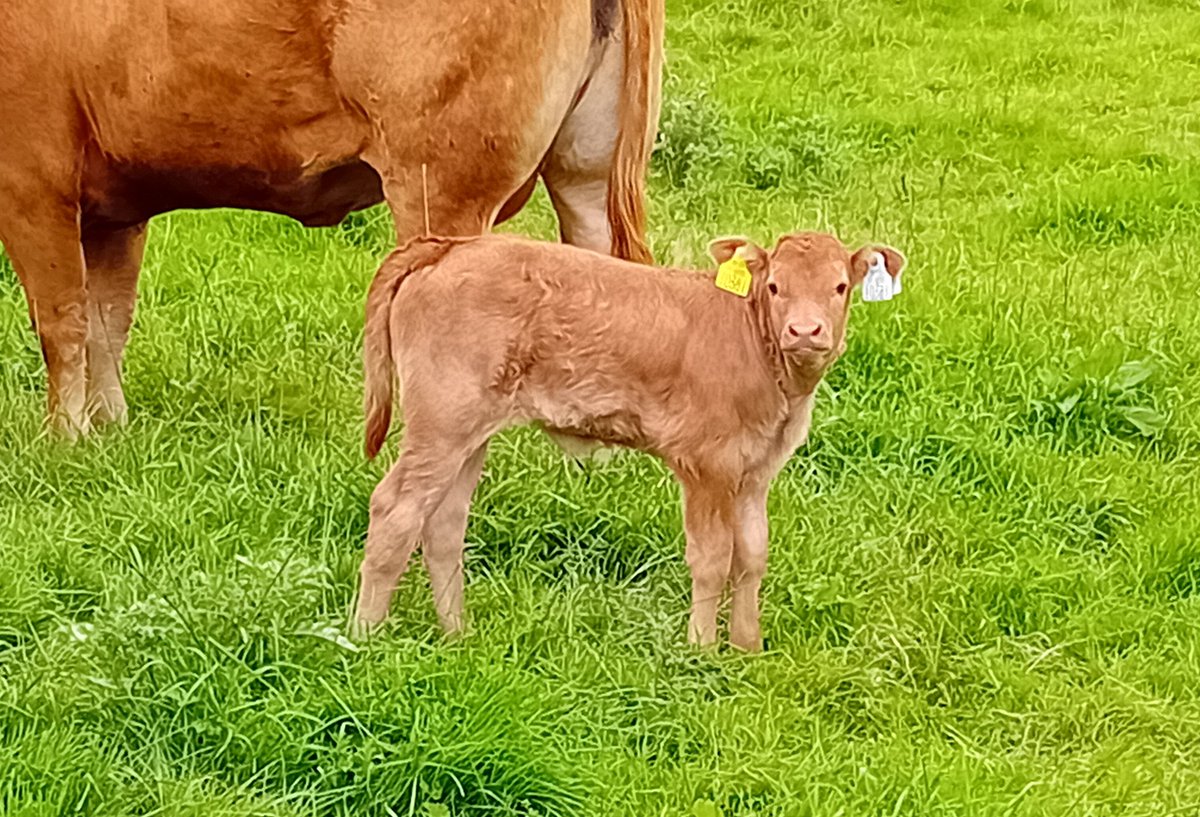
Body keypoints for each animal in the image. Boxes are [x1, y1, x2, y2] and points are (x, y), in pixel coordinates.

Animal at [0, 0, 664, 437]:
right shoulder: (116, 207)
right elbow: (108, 321)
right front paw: (108, 430)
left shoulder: (31, 184)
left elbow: (63, 324)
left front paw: (64, 440)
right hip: (585, 174)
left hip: (442, 188)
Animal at [354, 231, 906, 651]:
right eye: (774, 286)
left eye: (840, 287)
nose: (805, 331)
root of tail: (452, 245)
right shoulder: (707, 463)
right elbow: (712, 559)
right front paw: (702, 650)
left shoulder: (755, 472)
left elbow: (752, 554)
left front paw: (747, 648)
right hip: (441, 420)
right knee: (395, 510)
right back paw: (364, 637)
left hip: (469, 431)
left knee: (444, 522)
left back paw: (457, 635)